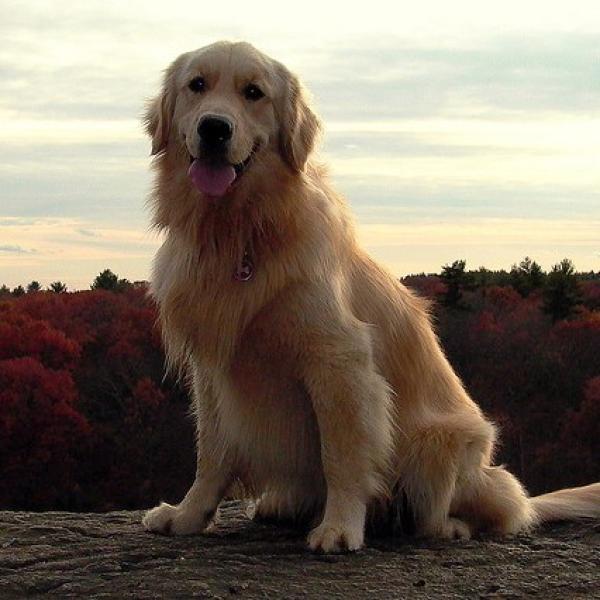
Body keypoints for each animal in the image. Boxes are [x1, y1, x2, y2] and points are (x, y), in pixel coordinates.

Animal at [142, 39, 600, 552]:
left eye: (253, 92)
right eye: (196, 85)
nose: (214, 128)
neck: (239, 232)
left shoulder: (340, 362)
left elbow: (341, 455)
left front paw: (340, 527)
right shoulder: (215, 368)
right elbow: (212, 454)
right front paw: (188, 516)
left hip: (442, 442)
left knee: (479, 510)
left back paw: (448, 526)